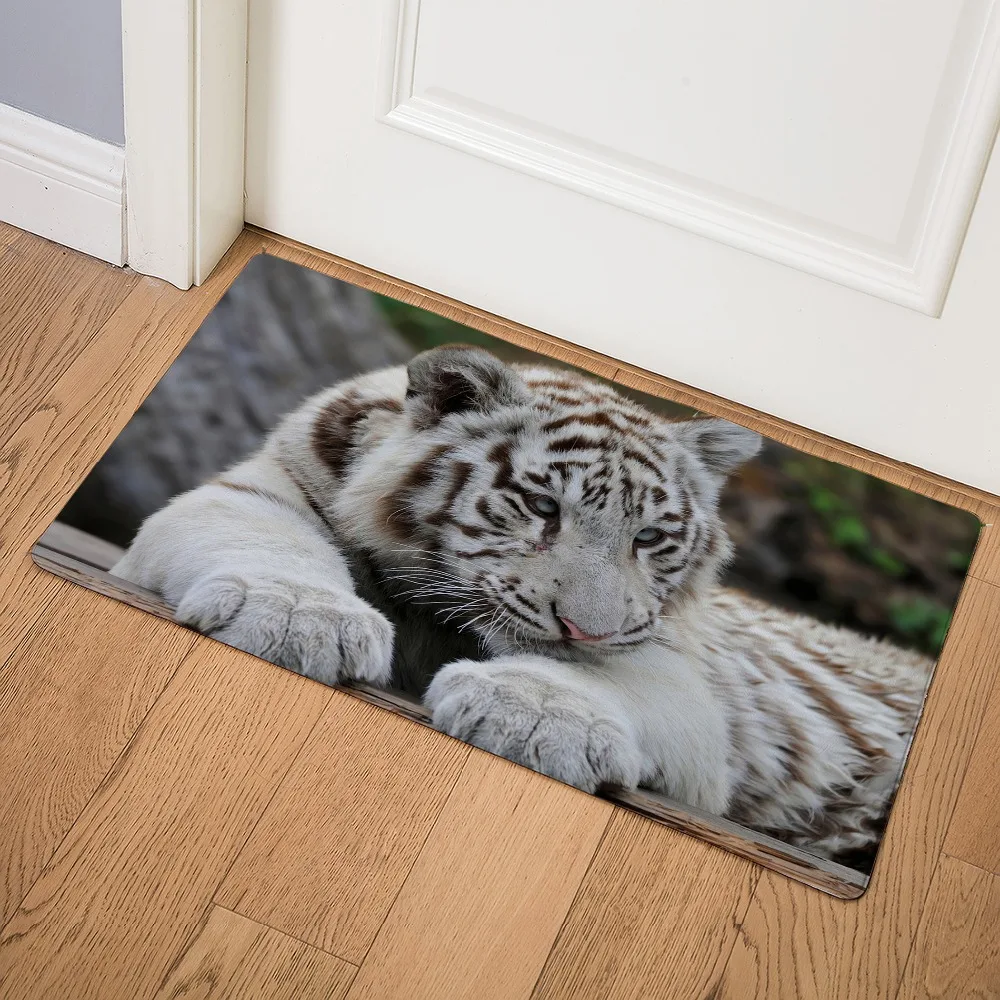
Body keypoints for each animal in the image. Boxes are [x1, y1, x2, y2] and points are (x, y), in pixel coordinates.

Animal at [113, 345, 933, 869]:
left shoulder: (676, 678)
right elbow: (268, 541)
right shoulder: (268, 488)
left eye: (649, 537)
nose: (584, 628)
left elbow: (599, 678)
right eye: (542, 507)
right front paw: (297, 621)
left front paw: (530, 718)